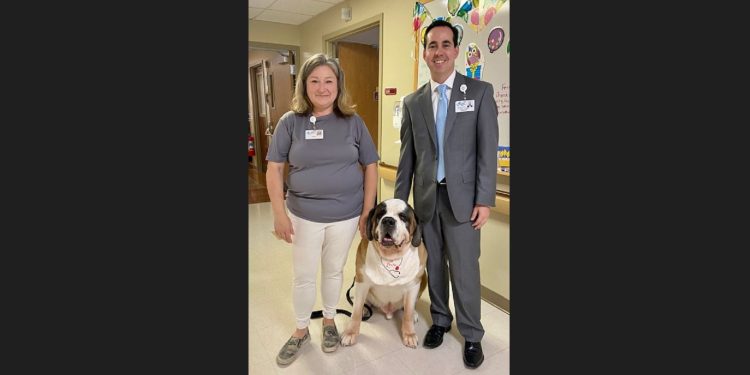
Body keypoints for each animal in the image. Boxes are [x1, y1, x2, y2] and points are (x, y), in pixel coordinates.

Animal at [342, 200, 428, 350]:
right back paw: (365, 309)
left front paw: (409, 334)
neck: (391, 257)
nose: (388, 220)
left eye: (403, 217)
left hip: (424, 279)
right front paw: (350, 332)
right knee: (362, 301)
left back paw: (414, 314)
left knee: (408, 307)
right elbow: (356, 311)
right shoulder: (362, 282)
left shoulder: (413, 285)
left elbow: (407, 313)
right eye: (380, 215)